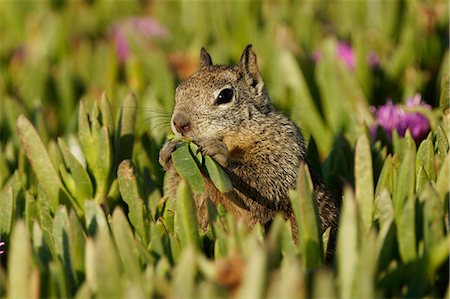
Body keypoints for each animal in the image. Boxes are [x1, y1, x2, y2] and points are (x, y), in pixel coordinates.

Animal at [158, 44, 338, 246]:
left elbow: (264, 183)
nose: (179, 123)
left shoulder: (284, 149)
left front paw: (218, 154)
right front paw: (167, 154)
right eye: (178, 90)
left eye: (225, 95)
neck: (232, 139)